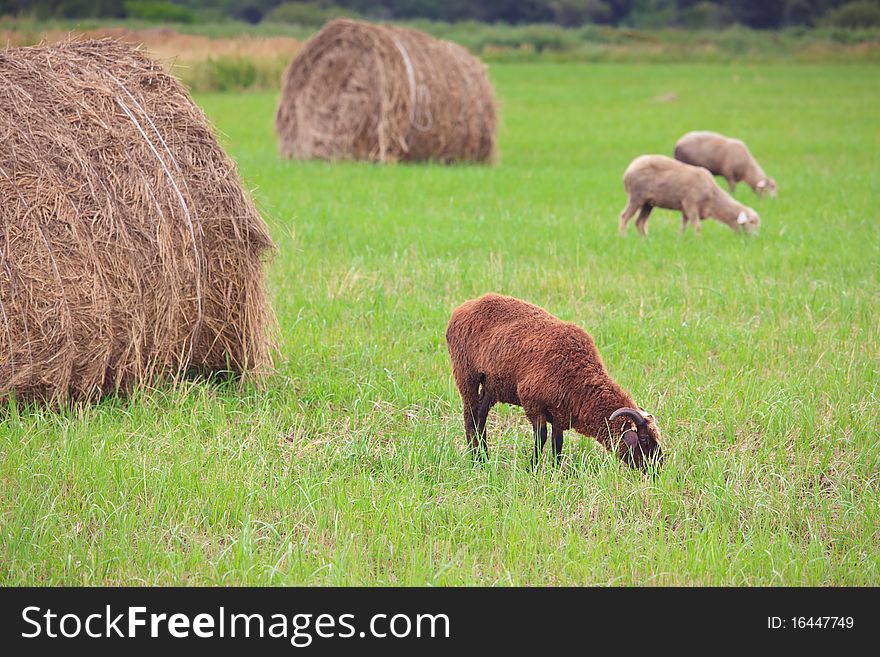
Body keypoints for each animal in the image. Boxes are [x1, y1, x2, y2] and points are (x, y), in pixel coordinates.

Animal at [444, 294, 664, 468]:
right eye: (644, 439)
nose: (657, 469)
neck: (579, 376)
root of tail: (463, 308)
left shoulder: (560, 413)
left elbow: (558, 442)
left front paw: (556, 469)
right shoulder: (533, 404)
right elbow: (540, 438)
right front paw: (532, 468)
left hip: (491, 386)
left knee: (480, 418)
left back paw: (484, 458)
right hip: (466, 375)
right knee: (470, 417)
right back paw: (477, 461)